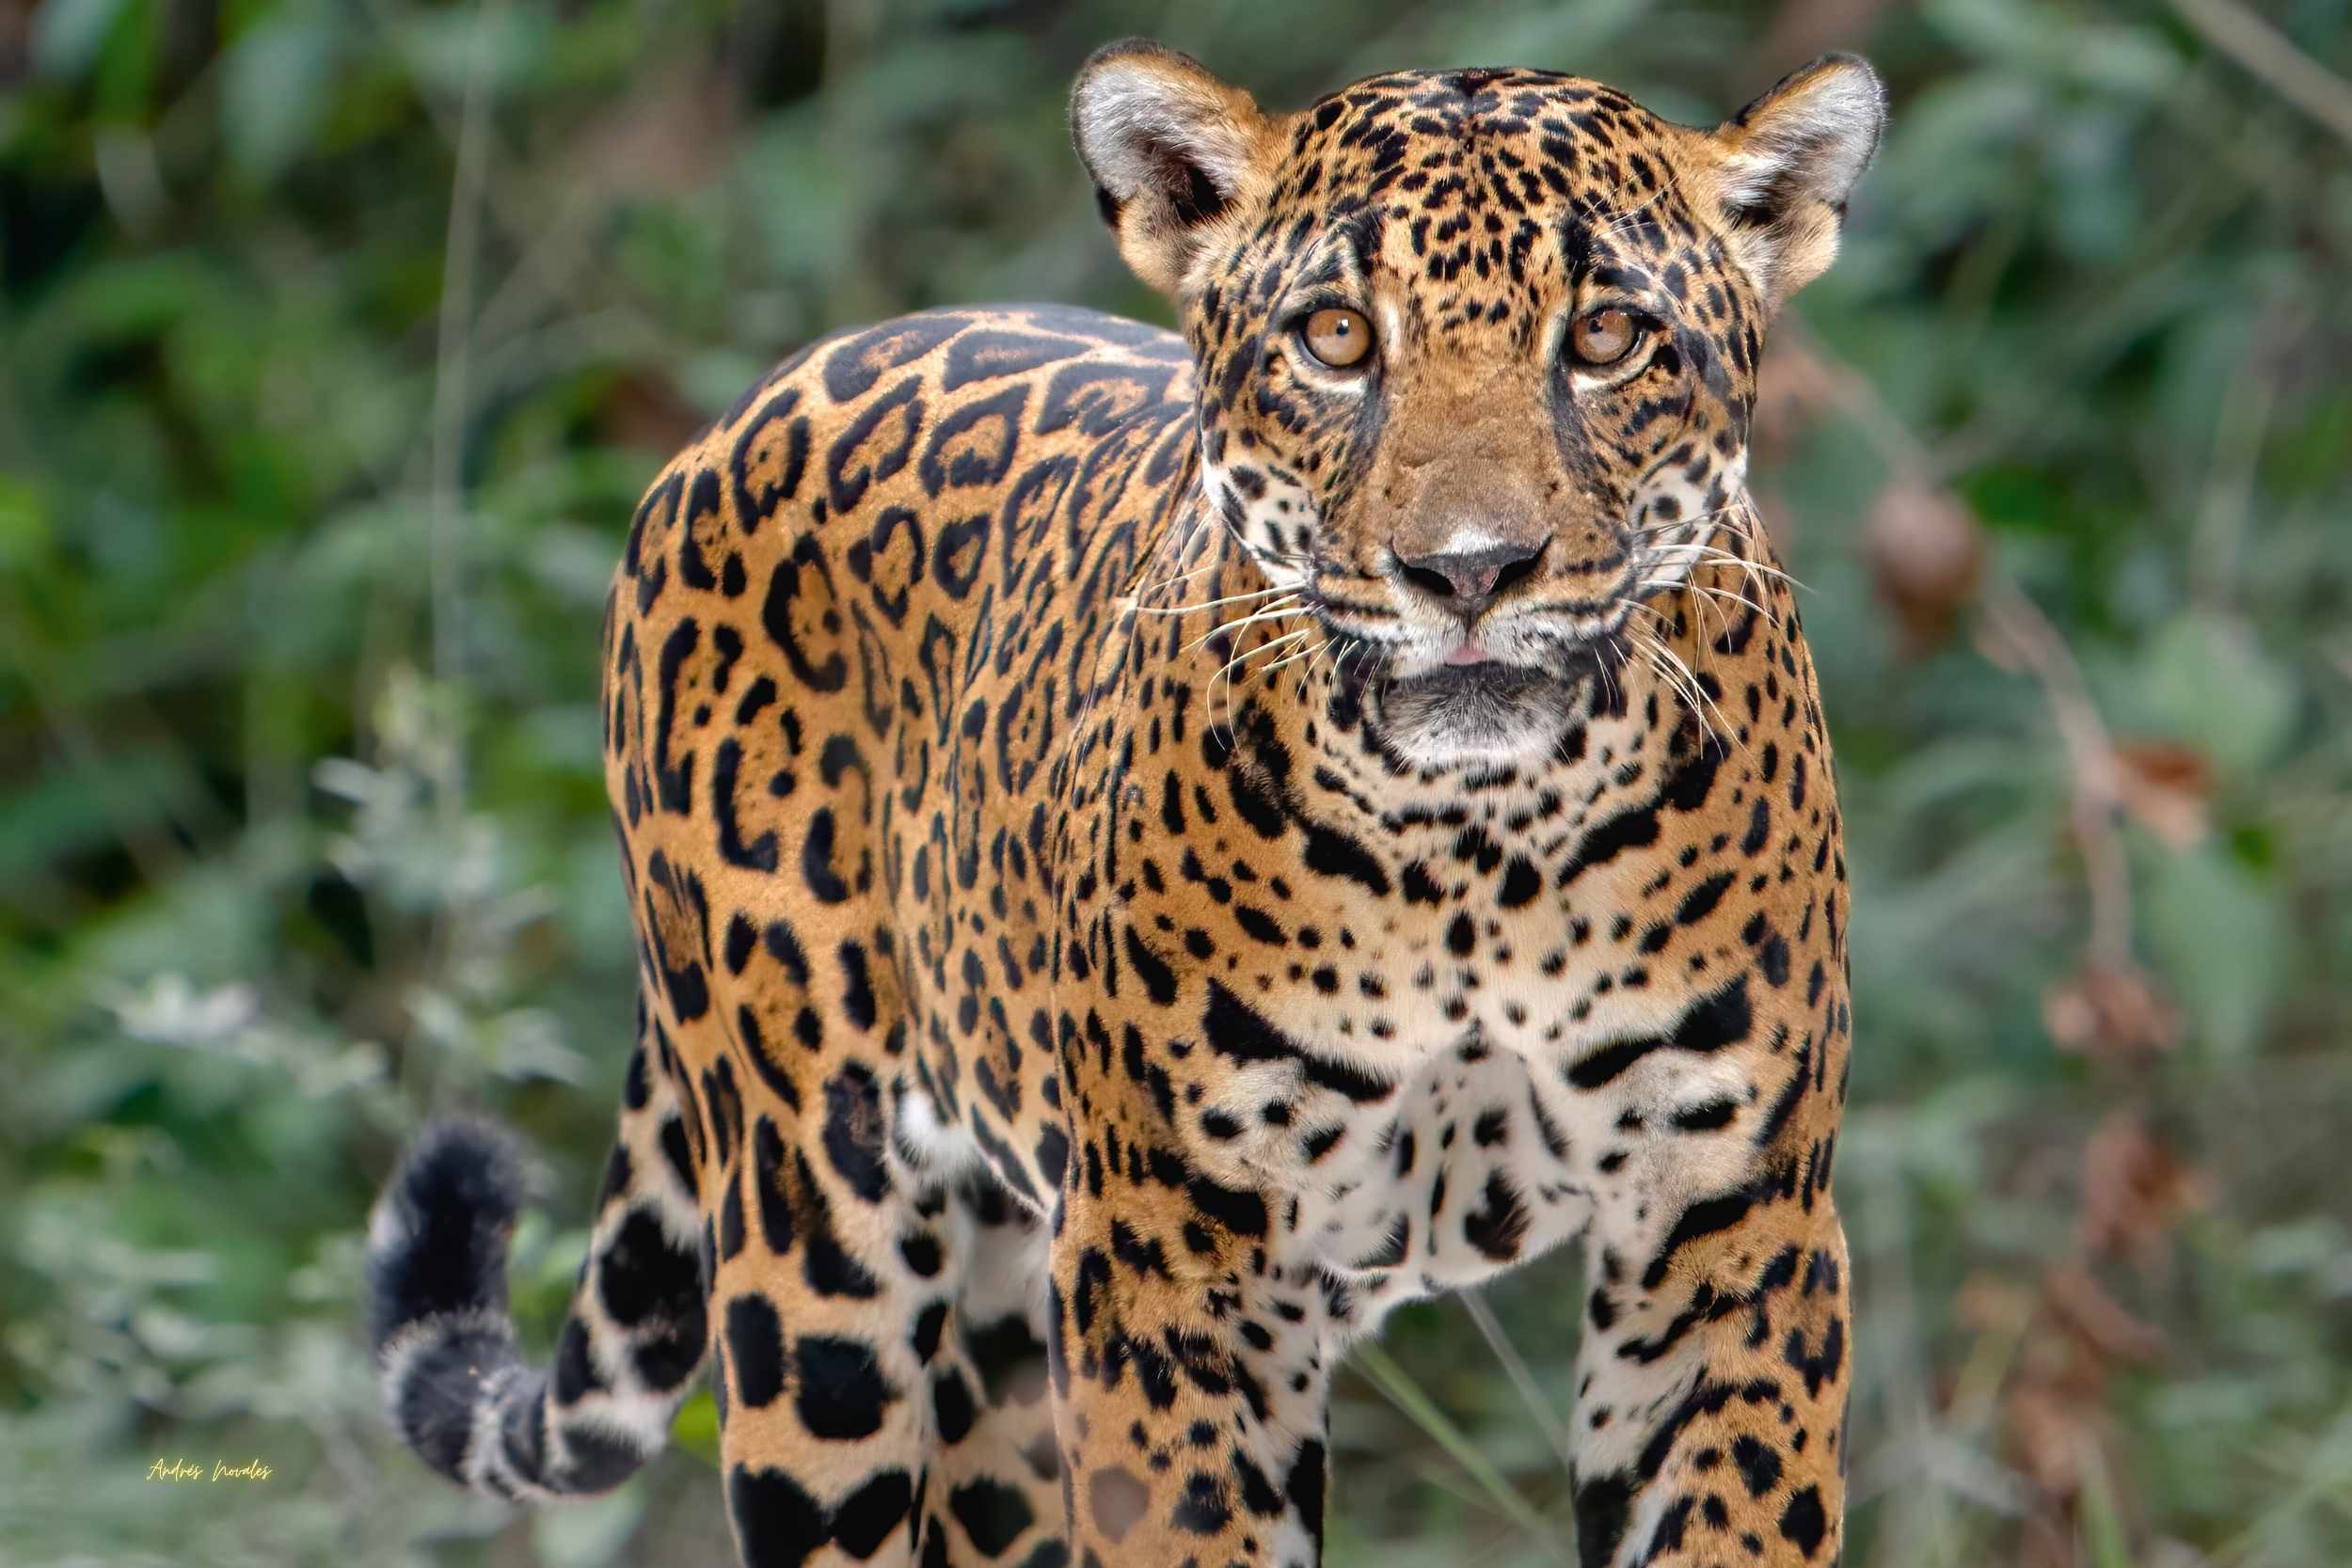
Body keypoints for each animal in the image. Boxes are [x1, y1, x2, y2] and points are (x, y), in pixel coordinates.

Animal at [365, 39, 1882, 1568]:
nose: (1467, 571)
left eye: (1609, 337)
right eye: (1338, 338)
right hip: (815, 1255)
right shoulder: (1169, 1249)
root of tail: (748, 404)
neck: (1477, 848)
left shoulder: (1731, 1233)